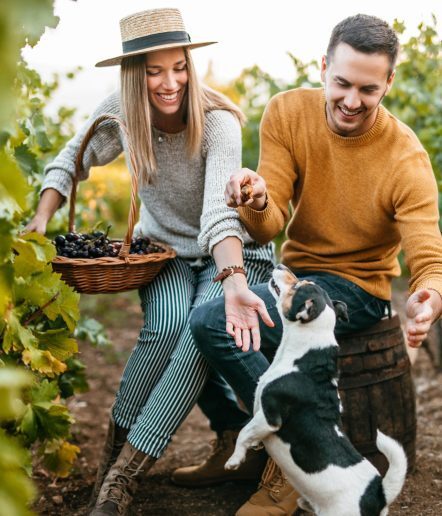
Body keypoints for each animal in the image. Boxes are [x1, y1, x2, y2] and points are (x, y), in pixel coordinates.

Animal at [224, 264, 408, 512]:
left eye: (297, 286)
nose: (280, 265)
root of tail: (378, 494)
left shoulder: (269, 417)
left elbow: (244, 432)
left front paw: (234, 460)